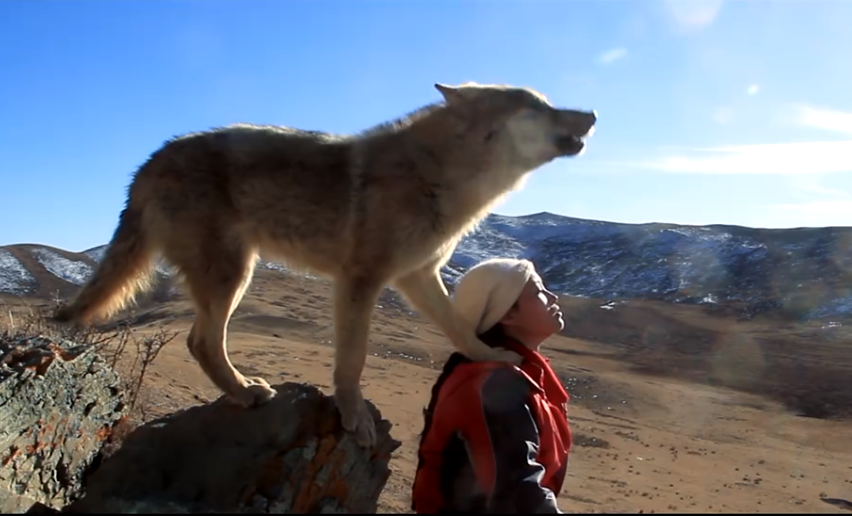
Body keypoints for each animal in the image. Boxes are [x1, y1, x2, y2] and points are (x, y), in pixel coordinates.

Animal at [53, 81, 596, 448]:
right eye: (539, 106)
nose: (592, 112)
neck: (443, 176)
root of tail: (149, 161)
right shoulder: (361, 280)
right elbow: (352, 360)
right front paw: (354, 417)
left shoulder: (418, 277)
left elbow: (459, 329)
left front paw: (492, 355)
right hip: (233, 275)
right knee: (201, 342)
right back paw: (247, 393)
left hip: (232, 275)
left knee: (198, 340)